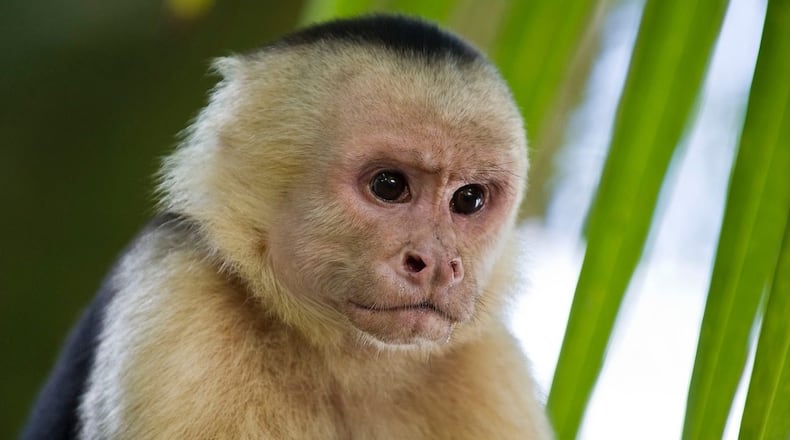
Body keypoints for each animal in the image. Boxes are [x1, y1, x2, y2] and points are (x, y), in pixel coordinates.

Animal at [21, 15, 552, 440]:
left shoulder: (490, 370)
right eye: (389, 185)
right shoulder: (178, 308)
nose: (439, 262)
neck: (348, 360)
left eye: (469, 199)